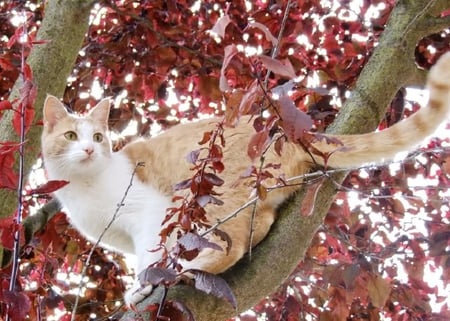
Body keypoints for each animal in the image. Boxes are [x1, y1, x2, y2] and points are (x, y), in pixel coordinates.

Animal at [41, 52, 450, 302]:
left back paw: (192, 267)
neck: (87, 187)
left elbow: (149, 254)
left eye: (97, 137)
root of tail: (285, 139)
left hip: (212, 196)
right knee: (262, 221)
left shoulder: (150, 214)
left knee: (232, 245)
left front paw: (142, 285)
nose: (89, 150)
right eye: (71, 136)